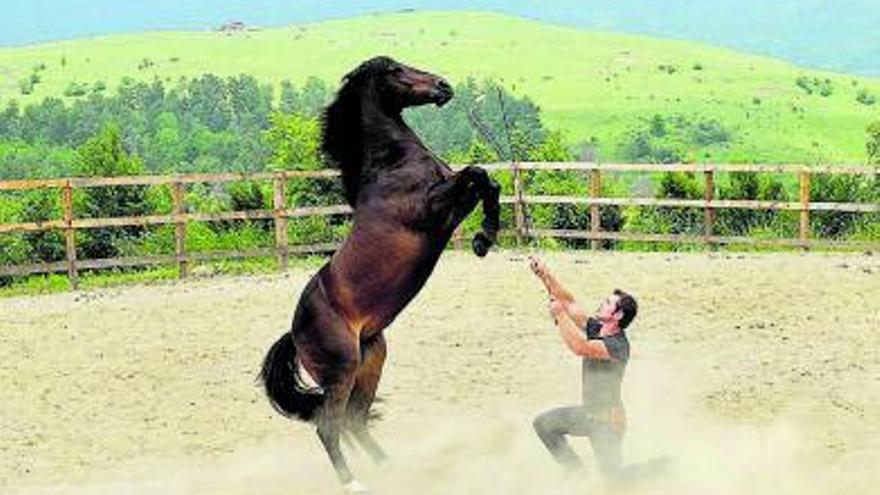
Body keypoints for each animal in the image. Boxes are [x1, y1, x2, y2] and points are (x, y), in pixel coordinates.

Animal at [258, 56, 498, 494]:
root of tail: (295, 334)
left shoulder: (454, 202)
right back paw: (354, 481)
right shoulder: (433, 208)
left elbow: (486, 180)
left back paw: (393, 468)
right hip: (341, 371)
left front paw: (485, 237)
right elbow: (477, 172)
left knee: (354, 420)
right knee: (328, 427)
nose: (443, 86)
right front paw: (484, 237)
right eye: (396, 71)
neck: (391, 165)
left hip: (371, 361)